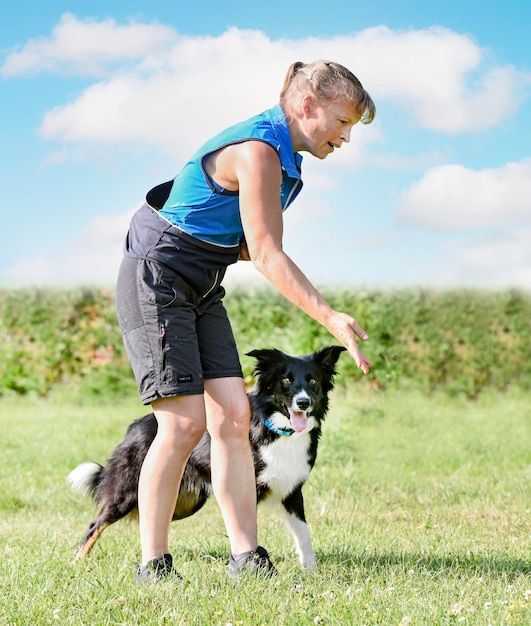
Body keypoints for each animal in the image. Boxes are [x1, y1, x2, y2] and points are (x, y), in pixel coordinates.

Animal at [68, 344, 344, 568]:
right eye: (286, 380)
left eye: (312, 382)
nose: (303, 403)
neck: (279, 431)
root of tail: (134, 427)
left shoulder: (291, 489)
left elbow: (303, 534)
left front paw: (311, 571)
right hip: (127, 493)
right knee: (95, 525)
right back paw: (76, 562)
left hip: (184, 502)